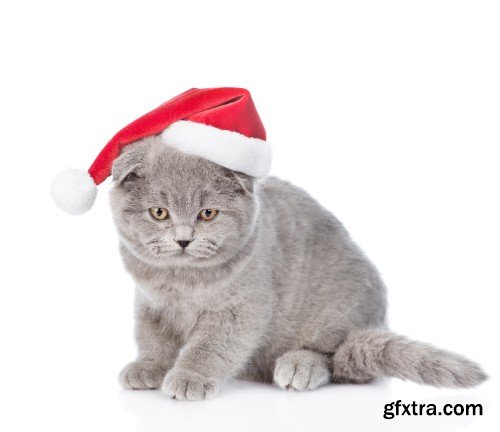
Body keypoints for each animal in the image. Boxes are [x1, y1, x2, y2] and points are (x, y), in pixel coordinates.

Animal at [110, 136, 488, 402]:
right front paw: (149, 368)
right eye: (159, 213)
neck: (179, 281)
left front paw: (190, 377)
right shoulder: (150, 303)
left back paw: (299, 367)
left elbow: (210, 346)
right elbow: (152, 338)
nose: (184, 240)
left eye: (208, 214)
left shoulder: (240, 308)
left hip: (337, 309)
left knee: (336, 360)